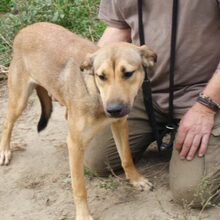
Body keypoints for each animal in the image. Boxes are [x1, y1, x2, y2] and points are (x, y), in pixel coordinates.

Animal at [0, 22, 156, 220]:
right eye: (101, 76)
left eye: (128, 73)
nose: (113, 110)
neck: (97, 96)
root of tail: (25, 29)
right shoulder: (75, 143)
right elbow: (79, 186)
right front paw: (83, 214)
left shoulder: (120, 124)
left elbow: (126, 157)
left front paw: (136, 180)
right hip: (19, 99)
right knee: (7, 123)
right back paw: (4, 151)